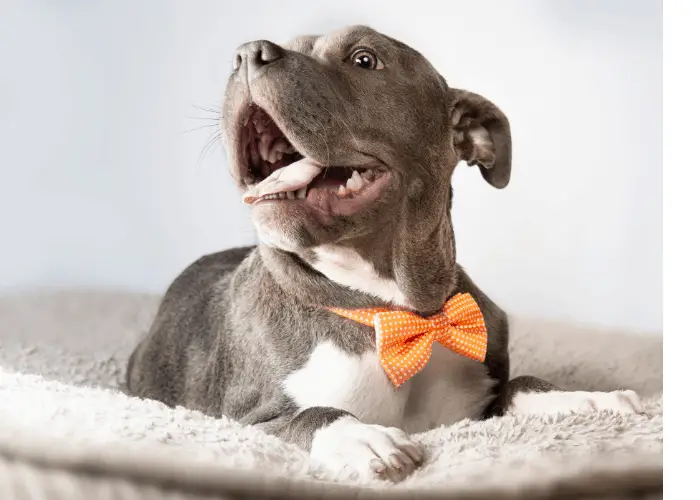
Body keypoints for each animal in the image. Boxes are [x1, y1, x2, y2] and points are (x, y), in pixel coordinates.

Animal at [127, 25, 644, 482]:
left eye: (364, 59)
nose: (247, 52)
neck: (394, 307)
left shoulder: (476, 407)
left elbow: (520, 385)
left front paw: (582, 401)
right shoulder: (244, 423)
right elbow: (310, 414)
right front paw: (361, 438)